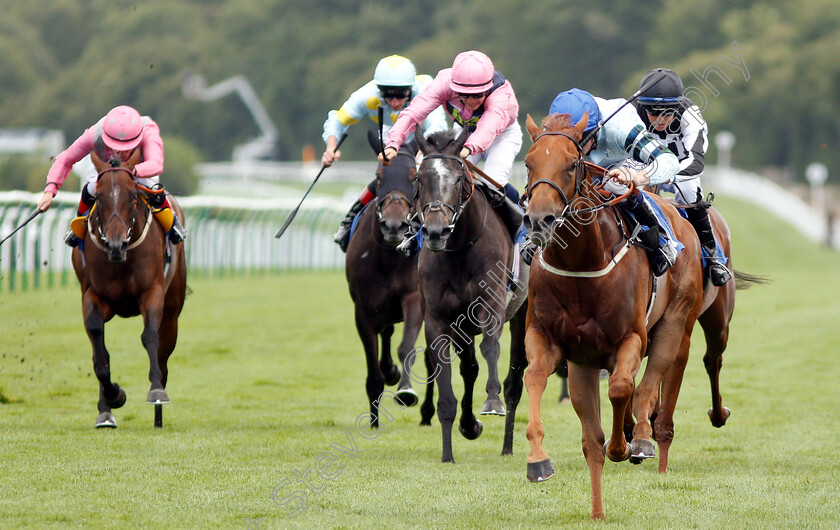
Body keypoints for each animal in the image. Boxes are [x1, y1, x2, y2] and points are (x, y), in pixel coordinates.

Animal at [72, 150, 187, 428]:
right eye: (97, 197)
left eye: (133, 196)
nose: (116, 245)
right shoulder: (91, 296)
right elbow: (99, 351)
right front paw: (113, 396)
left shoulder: (152, 292)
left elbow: (150, 337)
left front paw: (156, 392)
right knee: (99, 351)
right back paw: (105, 412)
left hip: (173, 310)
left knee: (164, 354)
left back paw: (158, 414)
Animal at [342, 131, 434, 424]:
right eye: (378, 176)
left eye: (413, 176)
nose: (394, 225)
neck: (388, 259)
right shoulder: (363, 309)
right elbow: (374, 365)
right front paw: (373, 420)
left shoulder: (413, 298)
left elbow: (407, 348)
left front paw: (405, 390)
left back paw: (427, 412)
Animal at [412, 126, 528, 460]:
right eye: (419, 178)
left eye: (458, 178)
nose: (436, 231)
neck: (460, 250)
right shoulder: (438, 320)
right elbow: (447, 385)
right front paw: (448, 453)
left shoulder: (491, 306)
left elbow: (491, 347)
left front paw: (491, 401)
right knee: (469, 368)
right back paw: (469, 425)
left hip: (524, 314)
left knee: (515, 380)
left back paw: (507, 446)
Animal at [520, 112, 708, 520]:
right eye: (528, 163)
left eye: (571, 164)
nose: (540, 219)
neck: (581, 263)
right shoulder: (549, 340)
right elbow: (534, 377)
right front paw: (538, 461)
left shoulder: (631, 338)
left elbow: (623, 388)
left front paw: (624, 445)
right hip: (584, 365)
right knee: (591, 441)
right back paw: (597, 512)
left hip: (675, 325)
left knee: (649, 384)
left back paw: (642, 440)